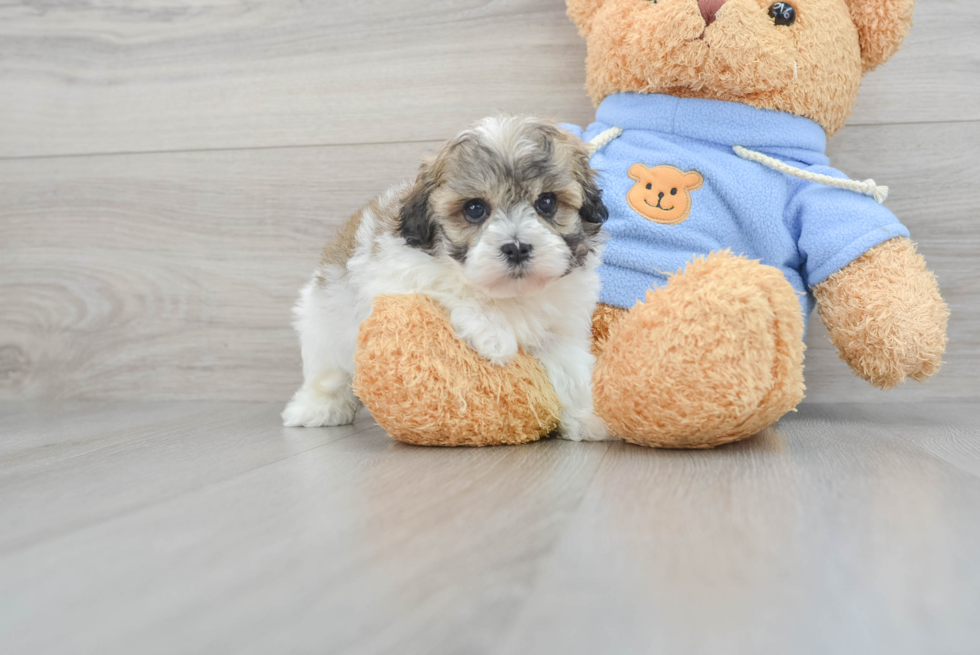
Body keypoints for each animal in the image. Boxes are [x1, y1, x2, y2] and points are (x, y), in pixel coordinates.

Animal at [280, 116, 608, 444]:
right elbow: (450, 288)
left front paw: (586, 418)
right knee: (328, 375)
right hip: (323, 324)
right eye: (475, 209)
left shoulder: (562, 328)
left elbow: (572, 370)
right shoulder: (397, 275)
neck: (510, 293)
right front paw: (494, 333)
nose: (516, 248)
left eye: (547, 203)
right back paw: (317, 409)